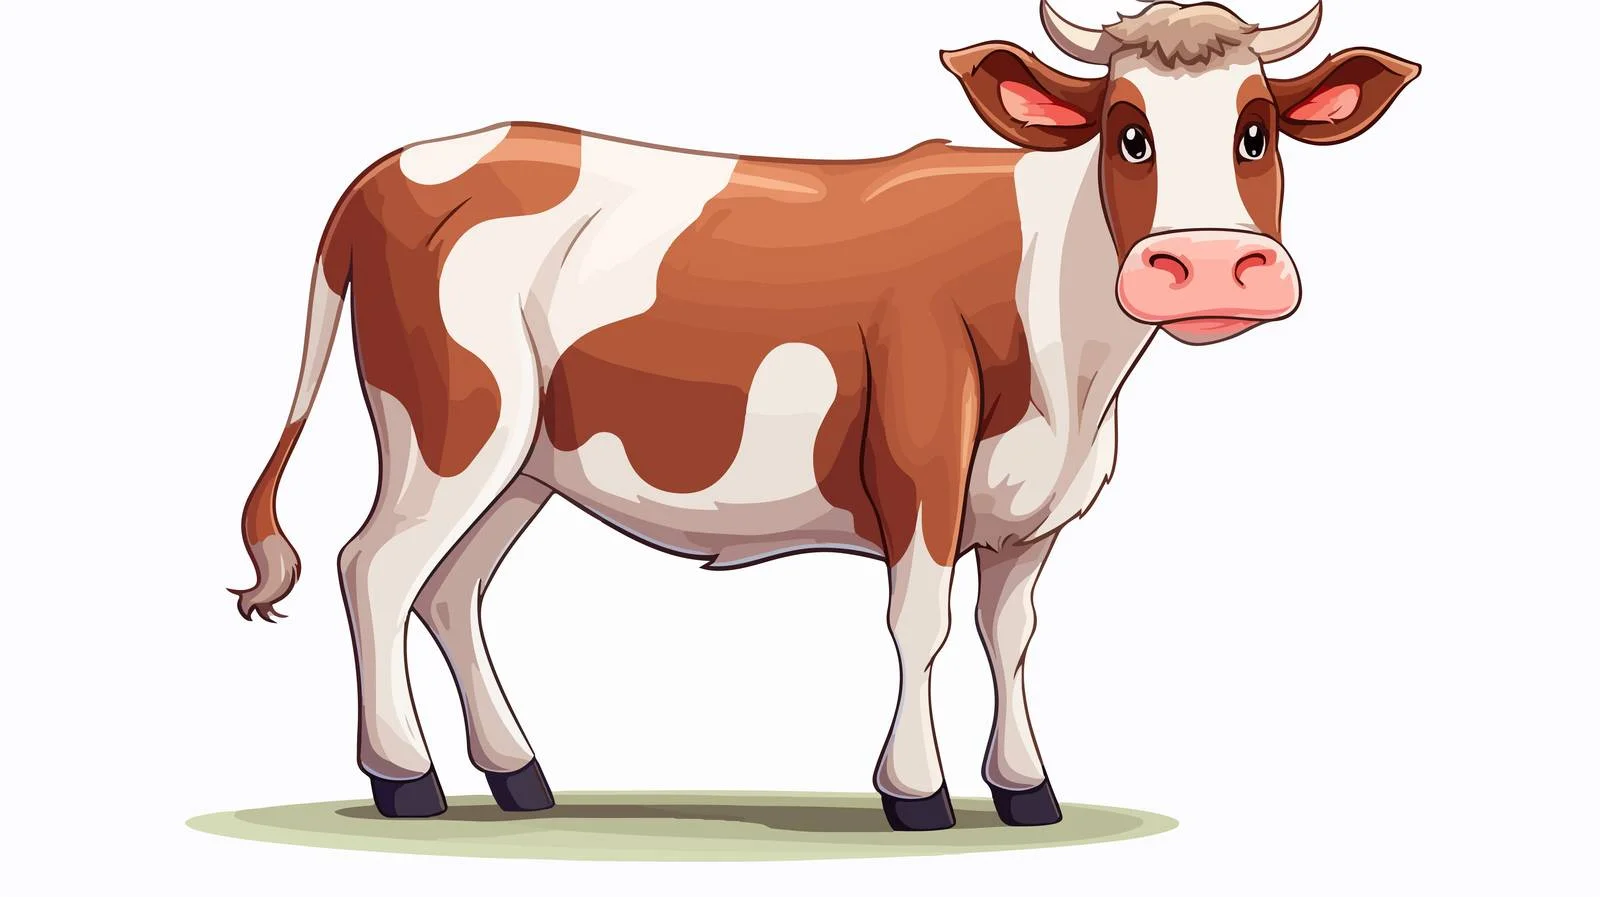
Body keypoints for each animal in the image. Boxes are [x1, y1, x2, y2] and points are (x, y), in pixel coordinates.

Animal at [230, 1, 1417, 831]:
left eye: (1258, 131)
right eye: (1127, 133)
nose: (1209, 267)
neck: (1074, 371)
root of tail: (398, 165)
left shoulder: (1036, 510)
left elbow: (1011, 635)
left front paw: (1025, 786)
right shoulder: (921, 463)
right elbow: (921, 623)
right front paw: (915, 791)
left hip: (525, 462)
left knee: (452, 589)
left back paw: (519, 775)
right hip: (451, 425)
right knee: (376, 567)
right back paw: (407, 777)